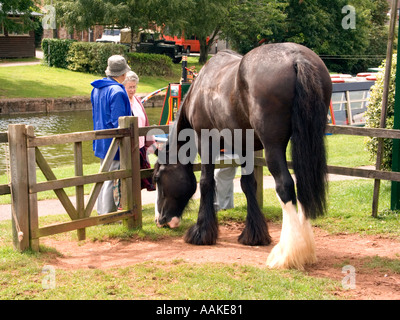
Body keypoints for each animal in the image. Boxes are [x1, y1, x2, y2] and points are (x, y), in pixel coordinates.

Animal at [153, 41, 332, 268]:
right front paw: (254, 235)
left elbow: (206, 182)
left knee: (285, 186)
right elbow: (248, 185)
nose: (160, 220)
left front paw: (201, 233)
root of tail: (296, 57)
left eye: (157, 178)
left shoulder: (206, 141)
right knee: (303, 186)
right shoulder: (244, 146)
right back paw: (305, 248)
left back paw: (287, 254)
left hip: (274, 146)